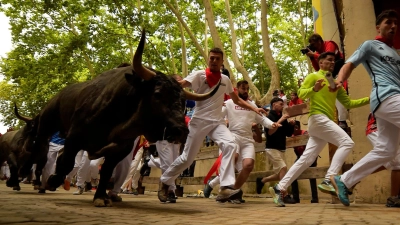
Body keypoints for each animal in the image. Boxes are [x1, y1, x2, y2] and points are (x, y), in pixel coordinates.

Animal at [15, 30, 220, 207]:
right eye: (157, 94)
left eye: (183, 102)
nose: (180, 130)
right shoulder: (74, 137)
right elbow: (67, 162)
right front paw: (53, 181)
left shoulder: (121, 149)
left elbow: (106, 172)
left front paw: (100, 196)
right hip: (47, 124)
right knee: (42, 151)